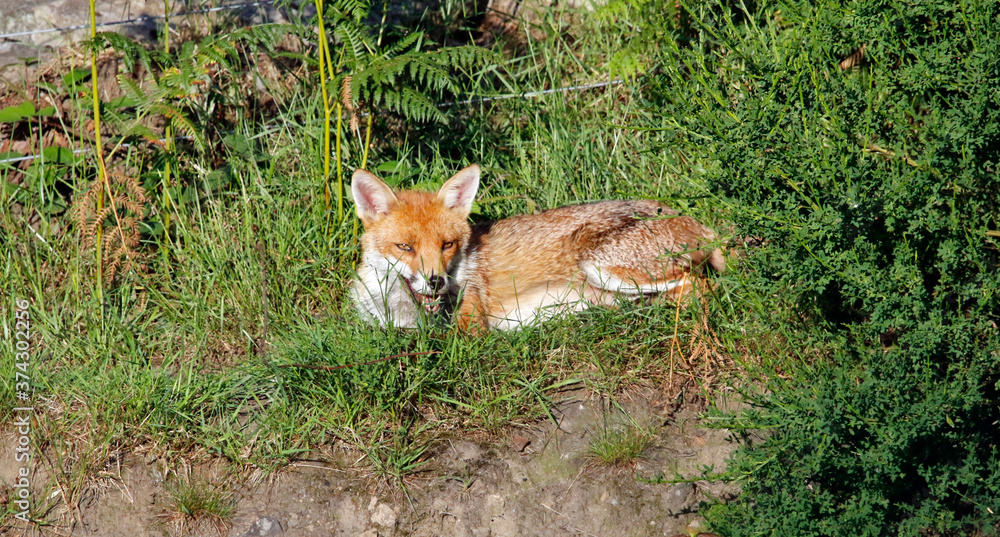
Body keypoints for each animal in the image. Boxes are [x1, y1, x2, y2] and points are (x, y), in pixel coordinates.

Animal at [352, 163, 728, 330]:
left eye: (447, 245)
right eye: (405, 246)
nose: (436, 281)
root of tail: (694, 220)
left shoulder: (471, 329)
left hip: (601, 267)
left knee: (700, 284)